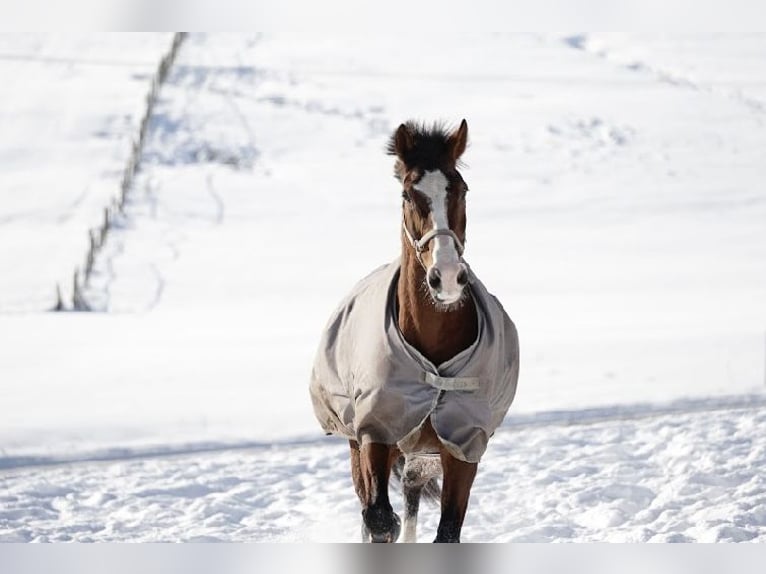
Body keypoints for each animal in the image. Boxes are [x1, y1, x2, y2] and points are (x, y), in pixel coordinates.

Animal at [310, 119, 519, 542]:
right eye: (409, 193)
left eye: (461, 189)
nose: (448, 277)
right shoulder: (376, 433)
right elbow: (377, 519)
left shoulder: (462, 446)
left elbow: (447, 531)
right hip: (364, 444)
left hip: (423, 455)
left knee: (410, 493)